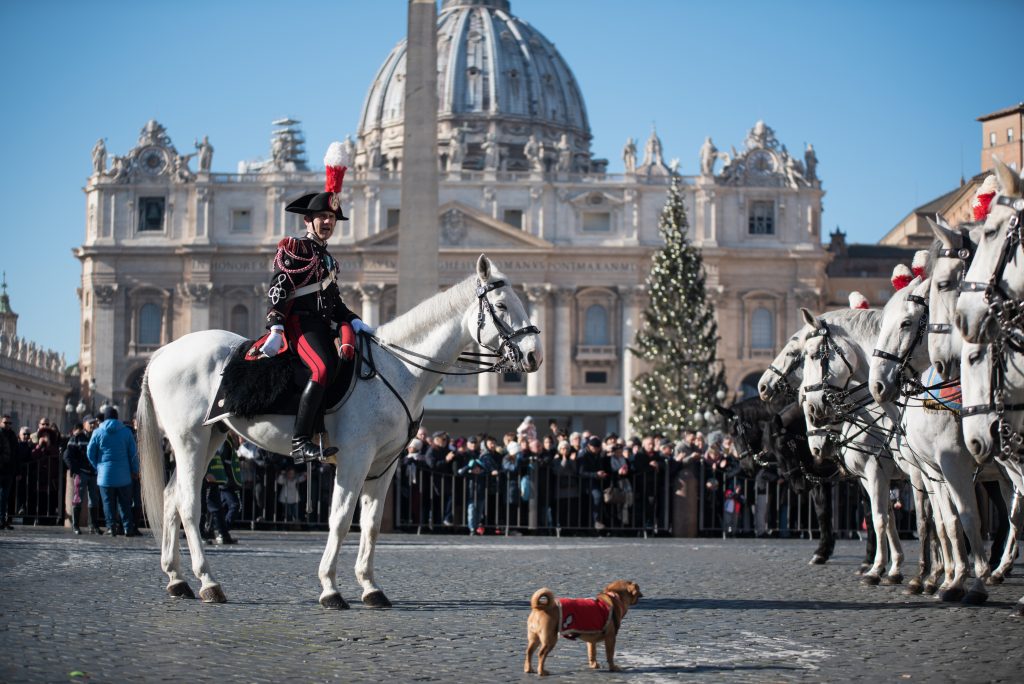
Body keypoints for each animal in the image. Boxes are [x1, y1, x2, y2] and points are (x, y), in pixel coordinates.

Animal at [140, 254, 548, 602]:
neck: (399, 366)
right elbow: (339, 519)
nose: (534, 356)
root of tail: (161, 353)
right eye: (501, 306)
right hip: (189, 438)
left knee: (171, 497)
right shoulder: (355, 457)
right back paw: (208, 582)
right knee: (189, 504)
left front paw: (370, 587)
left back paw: (177, 579)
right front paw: (330, 588)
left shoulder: (385, 464)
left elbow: (371, 524)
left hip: (211, 435)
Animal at [716, 395, 876, 565]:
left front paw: (870, 556)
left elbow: (869, 512)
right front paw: (822, 552)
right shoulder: (817, 478)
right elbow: (822, 511)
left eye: (734, 433)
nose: (746, 467)